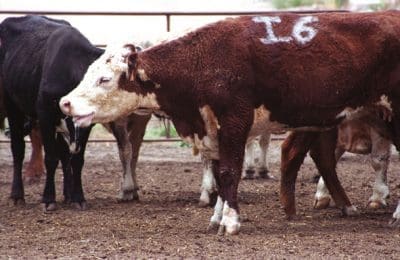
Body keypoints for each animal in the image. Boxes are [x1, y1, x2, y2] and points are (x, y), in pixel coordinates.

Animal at [58, 11, 400, 235]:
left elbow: (228, 172)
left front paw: (232, 221)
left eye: (104, 79)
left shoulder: (235, 120)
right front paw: (217, 218)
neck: (204, 61)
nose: (65, 102)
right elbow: (220, 173)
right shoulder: (211, 130)